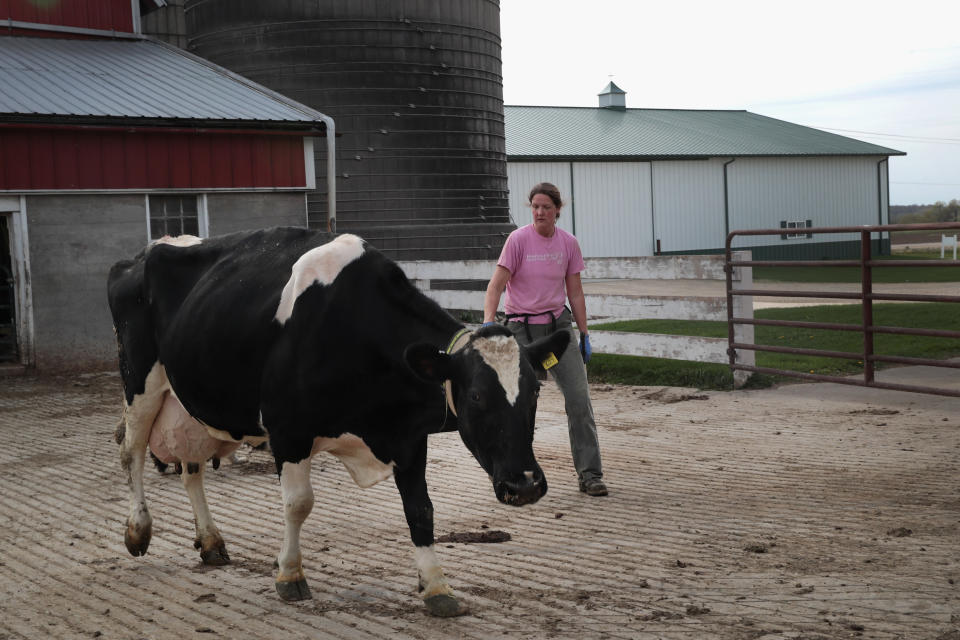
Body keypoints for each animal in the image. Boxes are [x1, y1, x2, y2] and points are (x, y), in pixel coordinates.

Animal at [108, 228, 568, 616]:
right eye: (475, 396)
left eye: (536, 392)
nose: (525, 484)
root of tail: (147, 250)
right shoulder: (288, 429)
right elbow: (298, 504)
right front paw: (290, 575)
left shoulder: (407, 436)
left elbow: (421, 510)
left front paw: (437, 586)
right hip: (140, 383)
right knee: (131, 453)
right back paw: (138, 530)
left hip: (191, 404)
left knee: (191, 469)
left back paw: (210, 541)